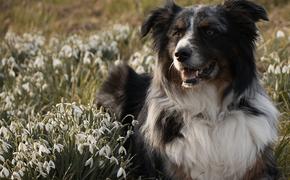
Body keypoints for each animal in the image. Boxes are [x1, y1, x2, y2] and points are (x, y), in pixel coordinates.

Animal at [96, 0, 280, 179]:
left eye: (210, 31)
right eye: (177, 33)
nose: (180, 54)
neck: (210, 114)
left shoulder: (261, 168)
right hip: (119, 75)